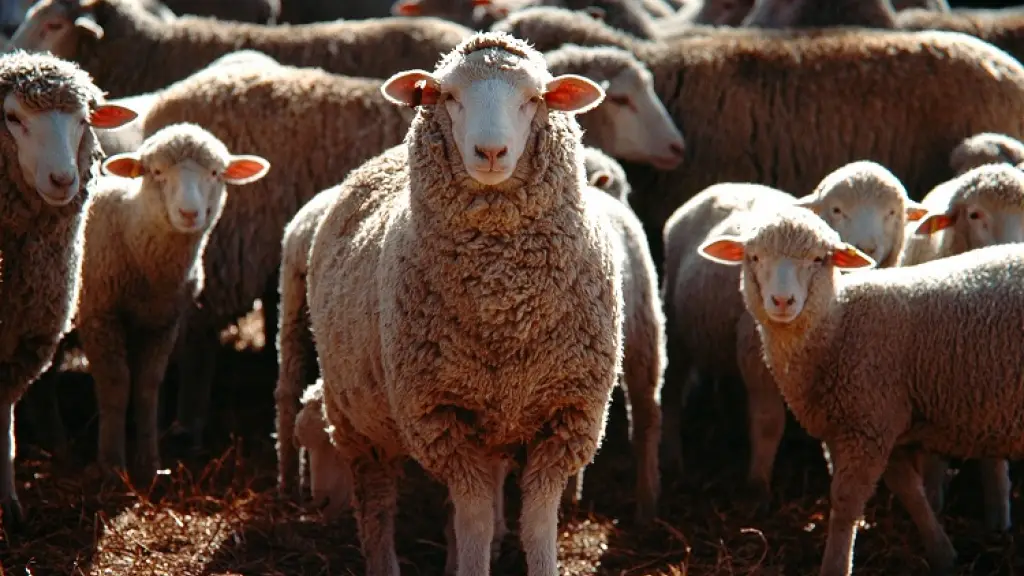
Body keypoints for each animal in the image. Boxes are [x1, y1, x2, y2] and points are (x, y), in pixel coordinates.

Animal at [0, 50, 137, 528]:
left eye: (83, 120)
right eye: (12, 118)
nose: (63, 180)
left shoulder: (27, 339)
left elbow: (3, 420)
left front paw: (9, 506)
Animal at [76, 123, 269, 482]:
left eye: (215, 173)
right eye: (156, 172)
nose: (189, 213)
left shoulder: (164, 321)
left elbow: (147, 387)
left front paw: (149, 464)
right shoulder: (99, 313)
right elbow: (116, 385)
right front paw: (111, 464)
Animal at [307, 31, 623, 576]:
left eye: (534, 98)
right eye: (449, 96)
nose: (491, 151)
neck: (504, 302)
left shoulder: (568, 415)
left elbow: (537, 524)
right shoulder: (439, 416)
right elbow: (472, 520)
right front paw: (473, 559)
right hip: (359, 420)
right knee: (376, 502)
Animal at [697, 206, 1024, 576]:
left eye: (818, 259)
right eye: (754, 257)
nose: (782, 301)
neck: (838, 324)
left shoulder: (866, 425)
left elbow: (845, 503)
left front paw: (836, 565)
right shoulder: (876, 421)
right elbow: (909, 490)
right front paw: (942, 551)